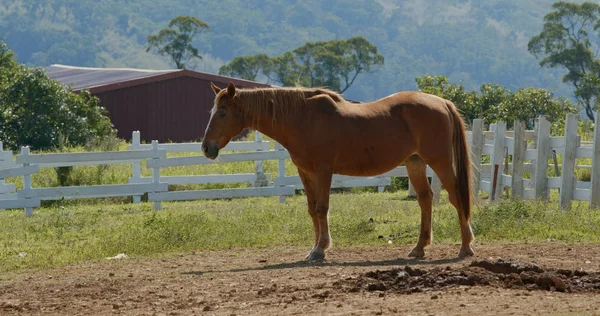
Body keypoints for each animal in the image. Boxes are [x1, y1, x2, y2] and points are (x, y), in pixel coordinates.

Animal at [204, 82, 476, 260]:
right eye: (212, 111)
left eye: (223, 112)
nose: (206, 147)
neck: (302, 118)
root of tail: (442, 102)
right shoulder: (305, 173)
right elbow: (312, 210)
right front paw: (314, 249)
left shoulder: (324, 171)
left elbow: (322, 208)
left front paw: (320, 249)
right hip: (415, 163)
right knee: (425, 199)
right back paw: (419, 248)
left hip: (440, 162)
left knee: (456, 197)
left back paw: (465, 247)